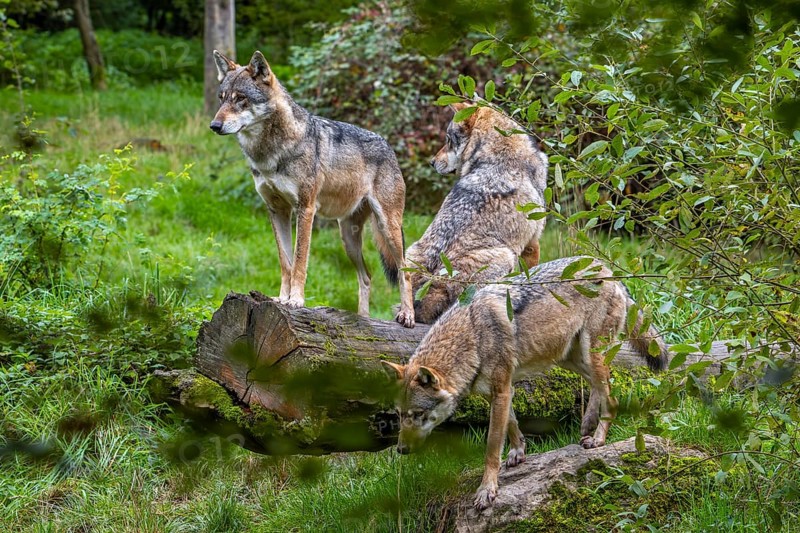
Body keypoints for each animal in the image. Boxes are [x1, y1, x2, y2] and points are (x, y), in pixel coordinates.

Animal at [210, 50, 414, 327]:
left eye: (240, 98)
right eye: (222, 99)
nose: (214, 125)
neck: (269, 153)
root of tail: (388, 145)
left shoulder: (305, 209)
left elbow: (299, 260)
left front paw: (296, 300)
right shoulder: (276, 210)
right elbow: (285, 262)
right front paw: (280, 298)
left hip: (388, 228)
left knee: (405, 272)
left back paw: (407, 315)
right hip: (348, 238)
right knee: (367, 276)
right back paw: (364, 320)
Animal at [382, 256, 669, 509]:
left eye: (418, 414)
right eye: (399, 415)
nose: (401, 449)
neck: (472, 334)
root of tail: (607, 269)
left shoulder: (501, 390)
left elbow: (491, 448)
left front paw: (487, 491)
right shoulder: (498, 391)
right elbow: (512, 425)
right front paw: (518, 453)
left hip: (591, 354)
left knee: (612, 395)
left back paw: (597, 439)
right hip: (569, 359)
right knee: (599, 386)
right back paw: (587, 426)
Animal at [405, 102, 548, 324]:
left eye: (448, 141)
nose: (431, 162)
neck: (500, 150)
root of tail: (430, 285)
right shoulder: (532, 243)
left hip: (411, 250)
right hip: (505, 256)